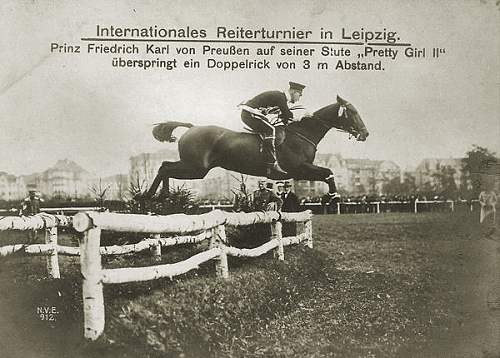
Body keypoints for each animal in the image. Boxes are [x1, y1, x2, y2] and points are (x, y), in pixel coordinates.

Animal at [146, 95, 370, 199]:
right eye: (352, 112)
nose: (365, 134)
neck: (302, 134)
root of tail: (192, 128)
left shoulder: (301, 173)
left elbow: (326, 173)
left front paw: (330, 197)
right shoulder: (299, 169)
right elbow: (328, 172)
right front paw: (333, 197)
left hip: (194, 168)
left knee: (165, 166)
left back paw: (162, 196)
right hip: (195, 168)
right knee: (165, 167)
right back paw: (150, 197)